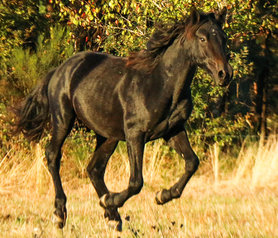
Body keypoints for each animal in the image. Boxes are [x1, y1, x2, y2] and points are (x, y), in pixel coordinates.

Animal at [15, 8, 232, 231]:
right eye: (202, 38)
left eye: (223, 38)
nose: (224, 74)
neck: (162, 84)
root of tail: (59, 69)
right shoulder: (135, 134)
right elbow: (136, 181)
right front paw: (114, 199)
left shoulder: (173, 130)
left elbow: (192, 163)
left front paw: (162, 196)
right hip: (63, 119)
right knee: (53, 156)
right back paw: (61, 214)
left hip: (108, 135)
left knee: (94, 169)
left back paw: (112, 216)